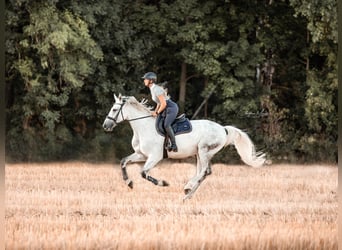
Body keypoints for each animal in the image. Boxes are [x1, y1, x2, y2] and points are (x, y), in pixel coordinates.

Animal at [103, 94, 266, 199]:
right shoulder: (141, 155)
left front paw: (163, 183)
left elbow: (143, 173)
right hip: (200, 153)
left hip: (204, 150)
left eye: (114, 110)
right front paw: (129, 183)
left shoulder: (155, 156)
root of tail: (223, 129)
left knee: (205, 172)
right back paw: (188, 191)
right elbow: (123, 162)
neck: (143, 127)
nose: (106, 125)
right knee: (203, 172)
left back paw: (188, 189)